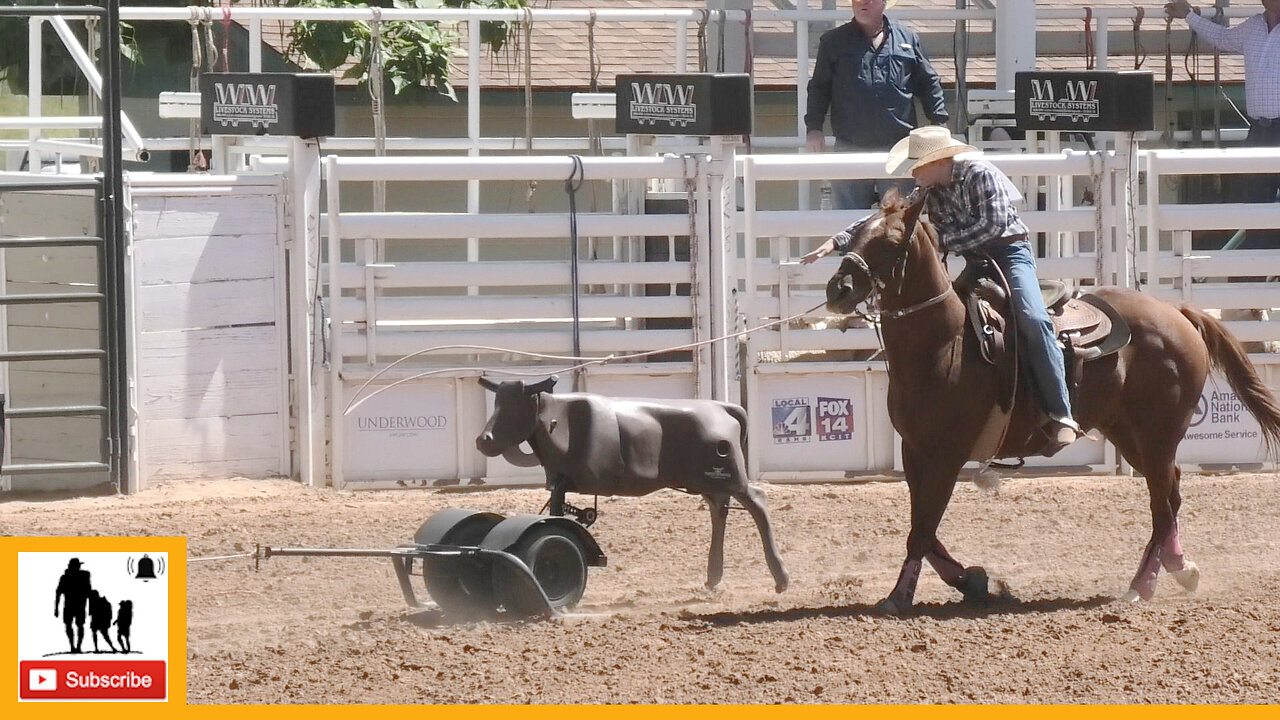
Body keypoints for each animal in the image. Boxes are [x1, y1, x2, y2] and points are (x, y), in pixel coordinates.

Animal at [824, 188, 1274, 614]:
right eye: (856, 233)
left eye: (890, 241)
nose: (837, 288)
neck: (945, 341)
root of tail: (1177, 312)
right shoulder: (915, 450)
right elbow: (924, 530)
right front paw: (974, 582)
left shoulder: (946, 455)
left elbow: (921, 532)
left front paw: (899, 597)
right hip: (1129, 433)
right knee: (1170, 494)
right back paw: (1173, 572)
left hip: (1158, 434)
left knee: (1162, 503)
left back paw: (1145, 584)